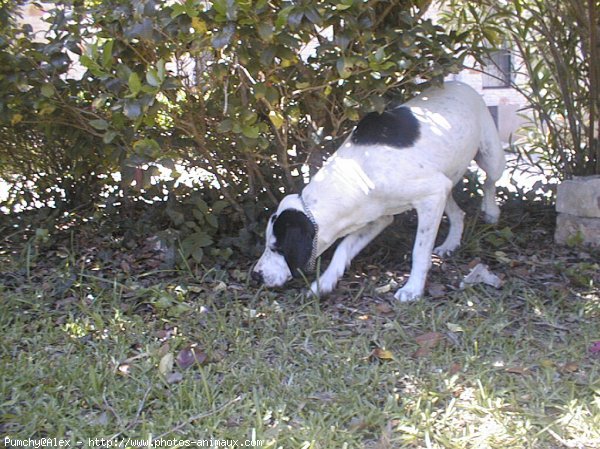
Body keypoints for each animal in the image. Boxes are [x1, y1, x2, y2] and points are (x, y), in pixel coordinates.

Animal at [251, 81, 504, 300]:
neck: (358, 172)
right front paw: (324, 283)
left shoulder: (430, 195)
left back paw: (491, 211)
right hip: (445, 182)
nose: (255, 276)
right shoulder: (378, 217)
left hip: (490, 157)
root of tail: (458, 82)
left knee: (489, 182)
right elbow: (343, 248)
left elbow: (419, 251)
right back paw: (451, 243)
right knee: (457, 212)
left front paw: (412, 289)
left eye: (277, 248)